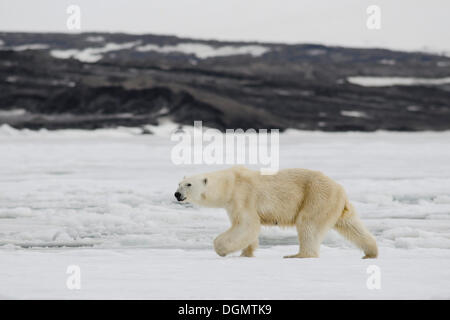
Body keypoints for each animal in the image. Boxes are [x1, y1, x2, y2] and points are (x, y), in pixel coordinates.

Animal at [174, 166, 378, 258]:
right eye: (179, 183)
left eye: (188, 184)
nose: (177, 194)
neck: (229, 184)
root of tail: (340, 189)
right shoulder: (232, 204)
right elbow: (246, 228)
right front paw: (246, 253)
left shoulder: (243, 196)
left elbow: (247, 225)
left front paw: (221, 249)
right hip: (334, 204)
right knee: (351, 225)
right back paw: (370, 251)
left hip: (316, 196)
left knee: (308, 224)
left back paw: (297, 255)